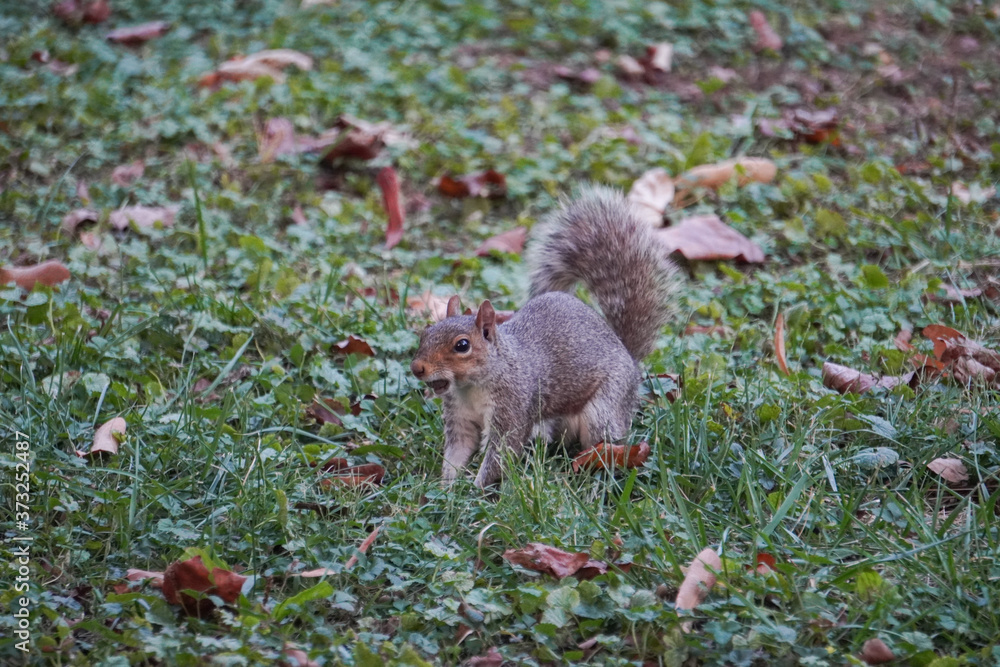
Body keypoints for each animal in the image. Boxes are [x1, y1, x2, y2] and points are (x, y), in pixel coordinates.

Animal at [410, 186, 681, 490]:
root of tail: (628, 355)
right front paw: (445, 487)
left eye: (462, 345)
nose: (417, 368)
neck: (472, 387)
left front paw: (475, 488)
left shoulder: (512, 408)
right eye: (426, 332)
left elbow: (501, 453)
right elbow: (457, 450)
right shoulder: (460, 418)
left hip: (604, 407)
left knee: (605, 441)